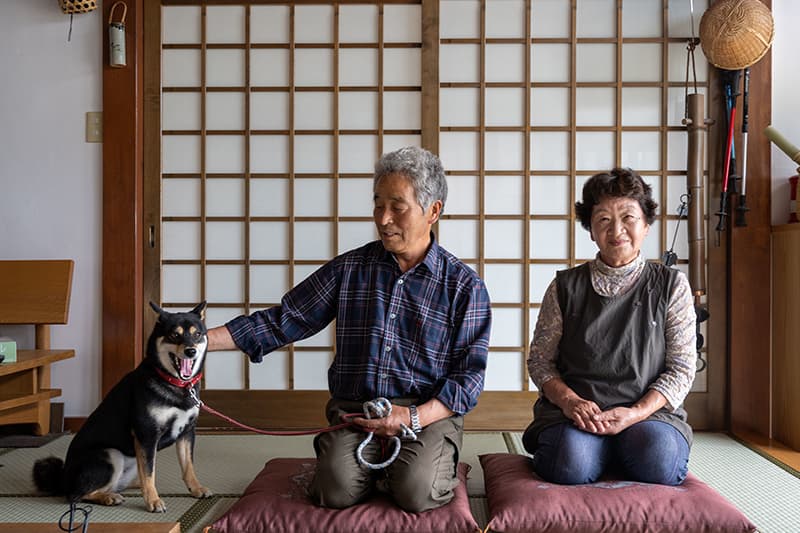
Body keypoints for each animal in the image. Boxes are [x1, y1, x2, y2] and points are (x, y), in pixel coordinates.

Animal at [33, 302, 212, 510]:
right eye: (175, 335)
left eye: (197, 334)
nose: (191, 351)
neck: (175, 384)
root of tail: (63, 478)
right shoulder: (146, 434)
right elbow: (149, 473)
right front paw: (153, 500)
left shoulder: (187, 431)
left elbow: (188, 466)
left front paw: (196, 488)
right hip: (111, 454)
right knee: (76, 495)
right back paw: (109, 497)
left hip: (131, 460)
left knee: (122, 482)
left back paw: (126, 488)